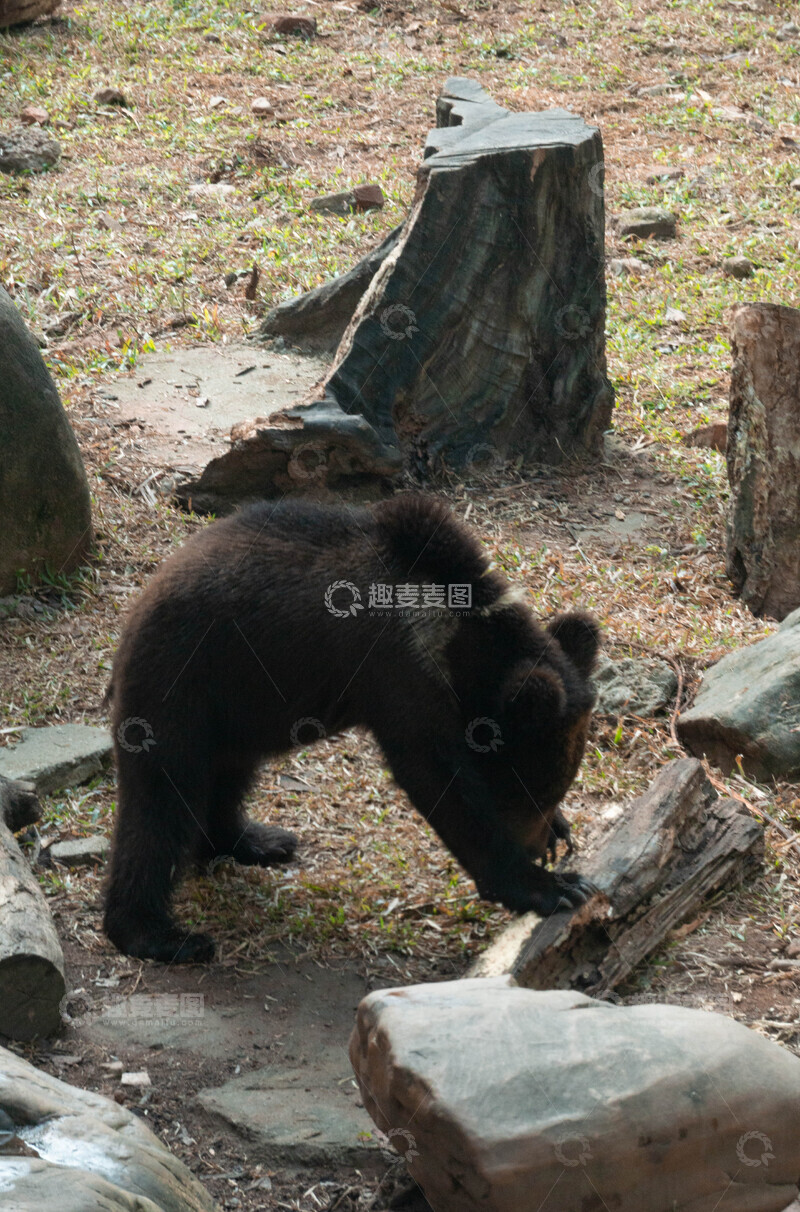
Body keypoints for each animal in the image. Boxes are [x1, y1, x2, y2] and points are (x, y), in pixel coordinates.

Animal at [103, 494, 601, 963]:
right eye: (529, 793)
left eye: (550, 793)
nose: (539, 845)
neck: (460, 647)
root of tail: (138, 609)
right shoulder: (398, 673)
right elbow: (439, 781)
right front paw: (553, 886)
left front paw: (560, 837)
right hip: (182, 689)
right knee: (162, 802)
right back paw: (161, 934)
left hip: (237, 709)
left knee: (228, 777)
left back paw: (258, 840)